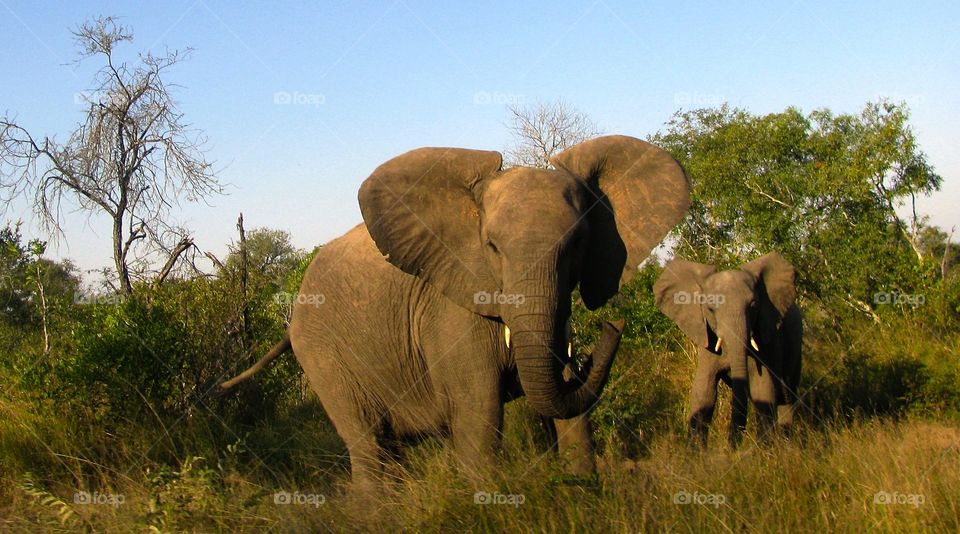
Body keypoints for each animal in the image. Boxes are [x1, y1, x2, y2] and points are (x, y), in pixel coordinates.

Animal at [222, 135, 691, 491]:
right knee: (368, 444)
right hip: (322, 354)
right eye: (492, 247)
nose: (612, 327)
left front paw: (580, 490)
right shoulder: (449, 311)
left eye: (577, 245)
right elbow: (480, 415)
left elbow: (570, 411)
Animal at [653, 253, 802, 448]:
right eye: (710, 309)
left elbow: (762, 388)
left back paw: (787, 446)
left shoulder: (767, 338)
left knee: (787, 395)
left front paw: (763, 452)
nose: (731, 447)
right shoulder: (707, 338)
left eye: (753, 305)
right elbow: (704, 390)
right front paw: (695, 451)